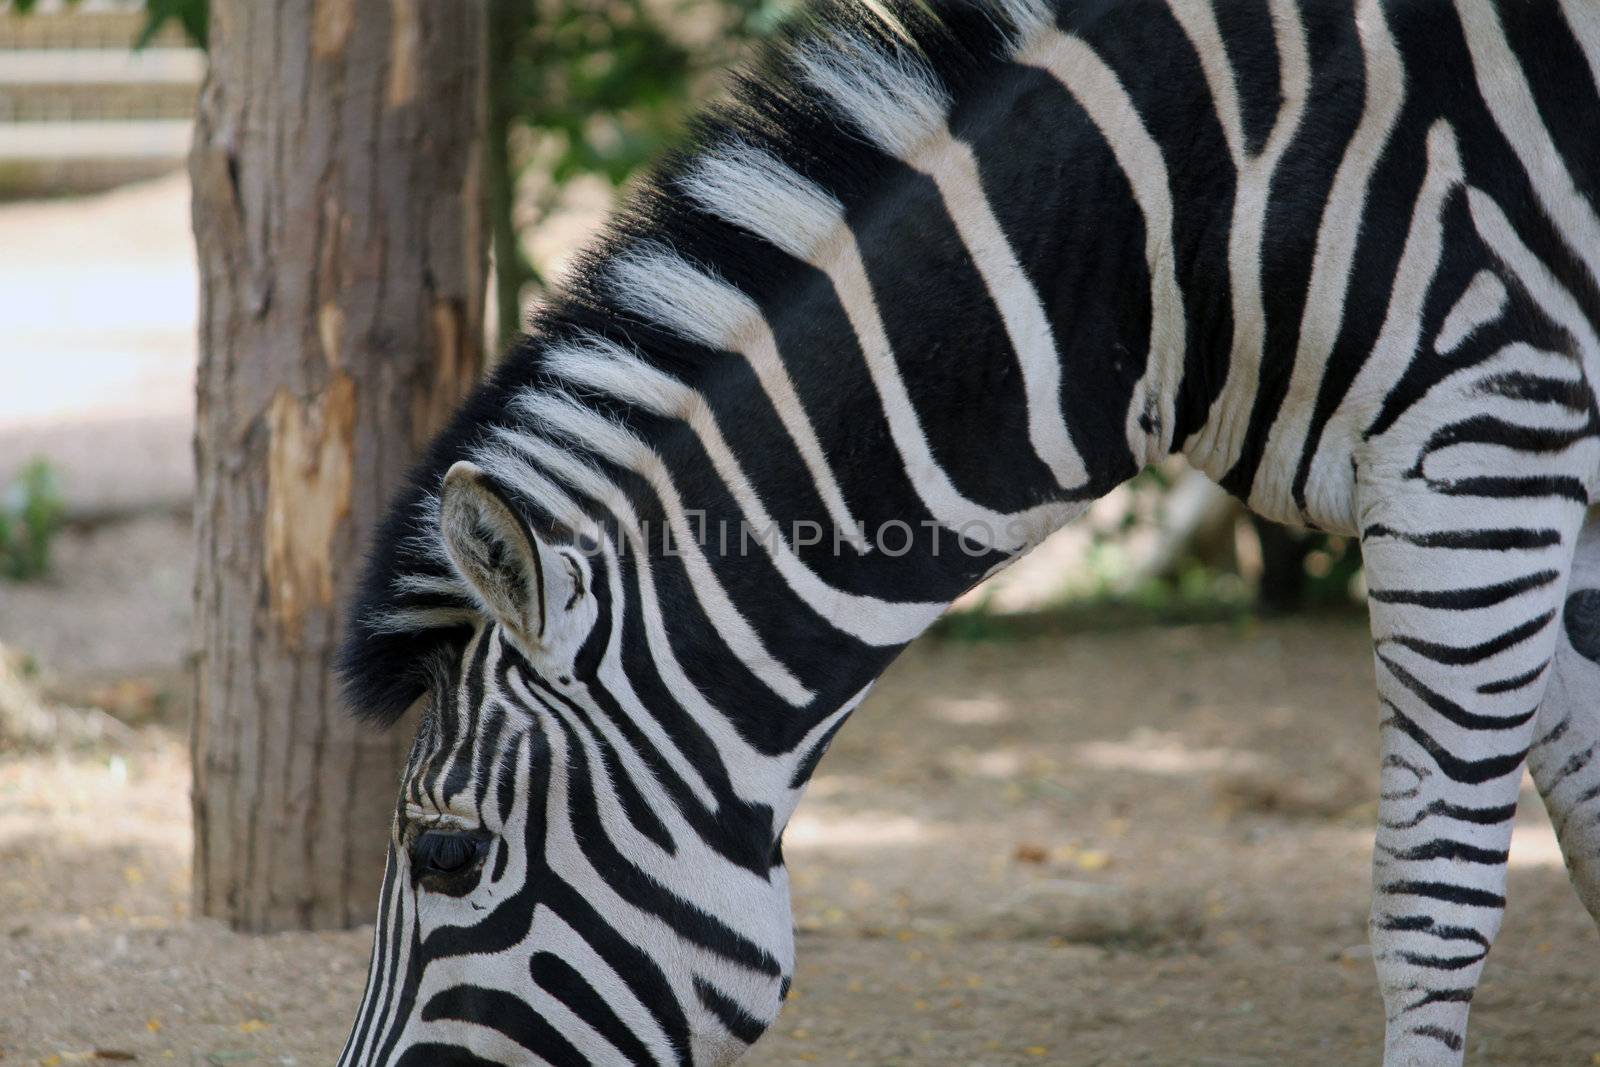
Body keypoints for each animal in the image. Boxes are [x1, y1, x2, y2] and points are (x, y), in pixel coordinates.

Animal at [331, 0, 1600, 1062]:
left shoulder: (1482, 451)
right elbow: (1585, 827)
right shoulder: (1529, 478)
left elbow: (1430, 895)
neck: (1179, 236)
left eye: (447, 853)